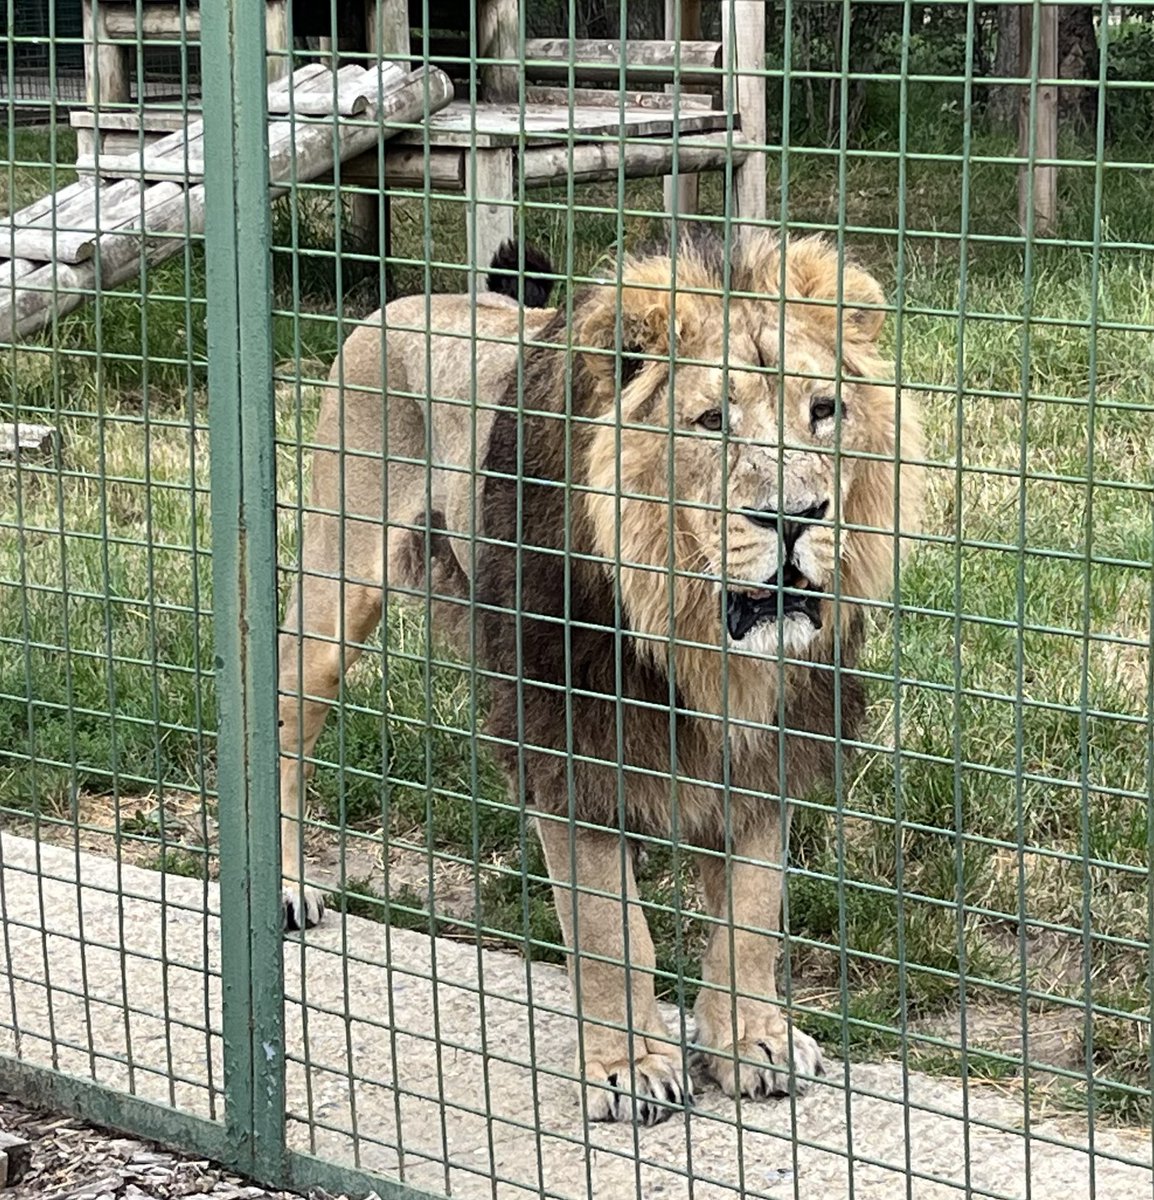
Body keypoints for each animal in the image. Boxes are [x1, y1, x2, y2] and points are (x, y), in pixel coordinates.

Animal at [277, 232, 924, 1126]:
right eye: (711, 422)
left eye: (824, 411)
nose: (795, 518)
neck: (691, 633)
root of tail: (405, 303)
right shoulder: (573, 742)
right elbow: (612, 934)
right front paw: (629, 1066)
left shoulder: (773, 747)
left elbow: (752, 917)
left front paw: (749, 1041)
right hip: (333, 600)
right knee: (278, 724)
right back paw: (285, 885)